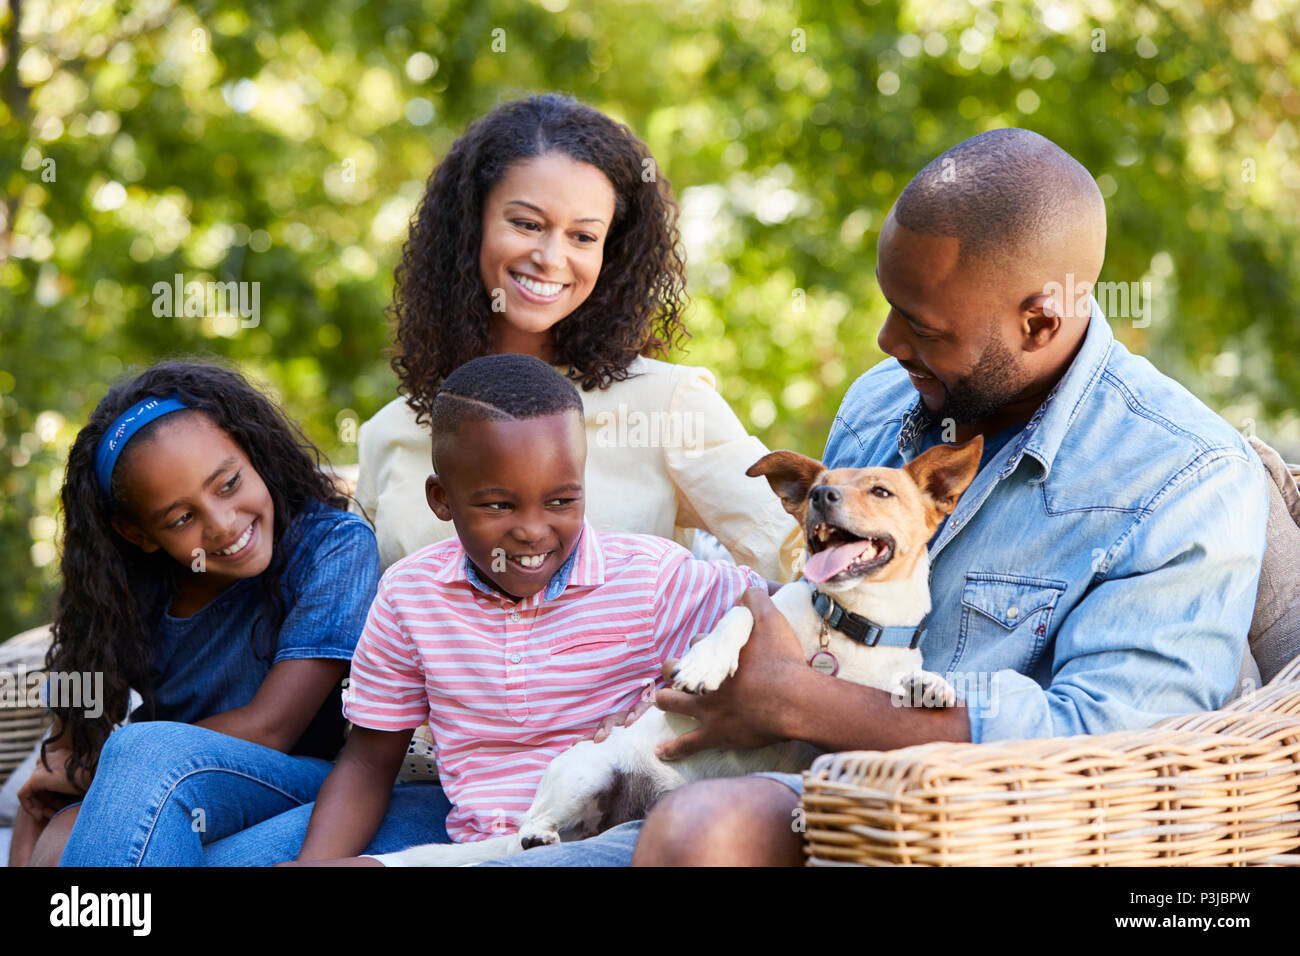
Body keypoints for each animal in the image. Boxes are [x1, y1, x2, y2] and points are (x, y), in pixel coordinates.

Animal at [377, 434, 982, 868]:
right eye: (822, 486)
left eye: (880, 491)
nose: (819, 497)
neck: (848, 625)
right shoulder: (756, 608)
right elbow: (738, 617)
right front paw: (704, 665)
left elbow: (905, 684)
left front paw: (930, 685)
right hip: (584, 774)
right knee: (535, 824)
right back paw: (538, 835)